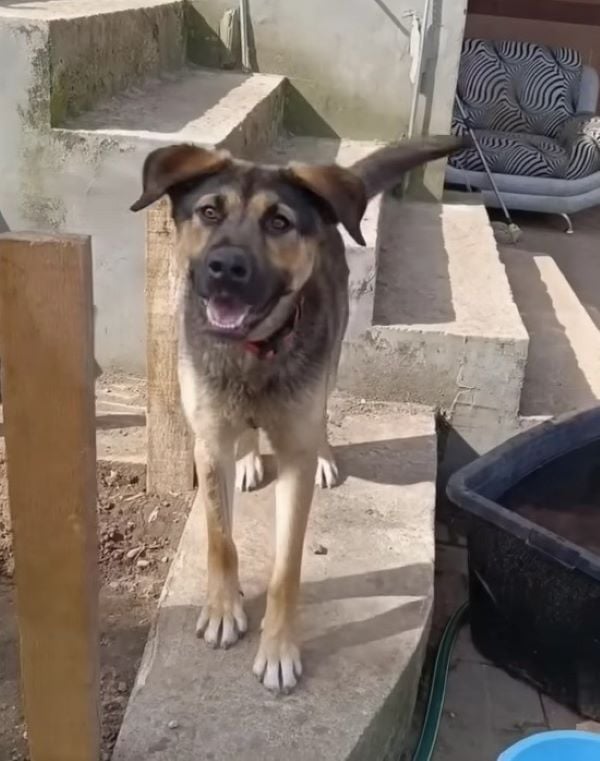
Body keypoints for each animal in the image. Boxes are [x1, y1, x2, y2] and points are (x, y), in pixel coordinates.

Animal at [131, 134, 468, 692]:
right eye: (208, 212)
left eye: (279, 222)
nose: (226, 267)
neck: (253, 352)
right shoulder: (209, 443)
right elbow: (221, 539)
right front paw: (222, 609)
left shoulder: (294, 459)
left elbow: (286, 568)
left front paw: (279, 648)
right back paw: (249, 459)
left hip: (329, 363)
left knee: (323, 413)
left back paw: (325, 456)